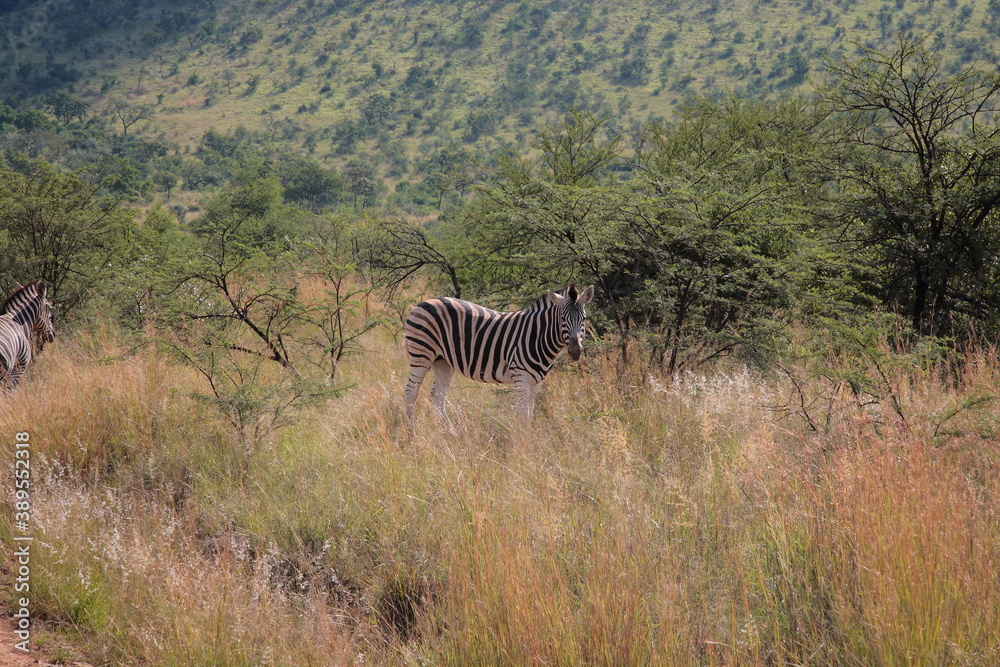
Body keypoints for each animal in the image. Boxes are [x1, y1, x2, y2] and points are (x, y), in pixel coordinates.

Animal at [403, 283, 595, 424]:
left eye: (584, 319)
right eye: (563, 319)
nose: (575, 351)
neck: (537, 336)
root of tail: (424, 302)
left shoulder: (536, 382)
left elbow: (529, 414)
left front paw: (531, 442)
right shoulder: (520, 380)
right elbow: (523, 416)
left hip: (443, 362)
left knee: (437, 397)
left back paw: (451, 435)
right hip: (421, 355)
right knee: (410, 393)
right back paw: (411, 433)